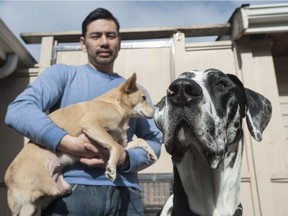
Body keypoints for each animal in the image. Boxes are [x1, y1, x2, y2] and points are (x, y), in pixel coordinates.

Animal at [5, 73, 158, 215]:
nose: (156, 112)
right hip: (43, 183)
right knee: (46, 192)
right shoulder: (91, 125)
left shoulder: (121, 142)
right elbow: (115, 147)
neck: (115, 106)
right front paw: (111, 169)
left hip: (48, 196)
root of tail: (8, 182)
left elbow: (138, 141)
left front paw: (151, 153)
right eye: (143, 98)